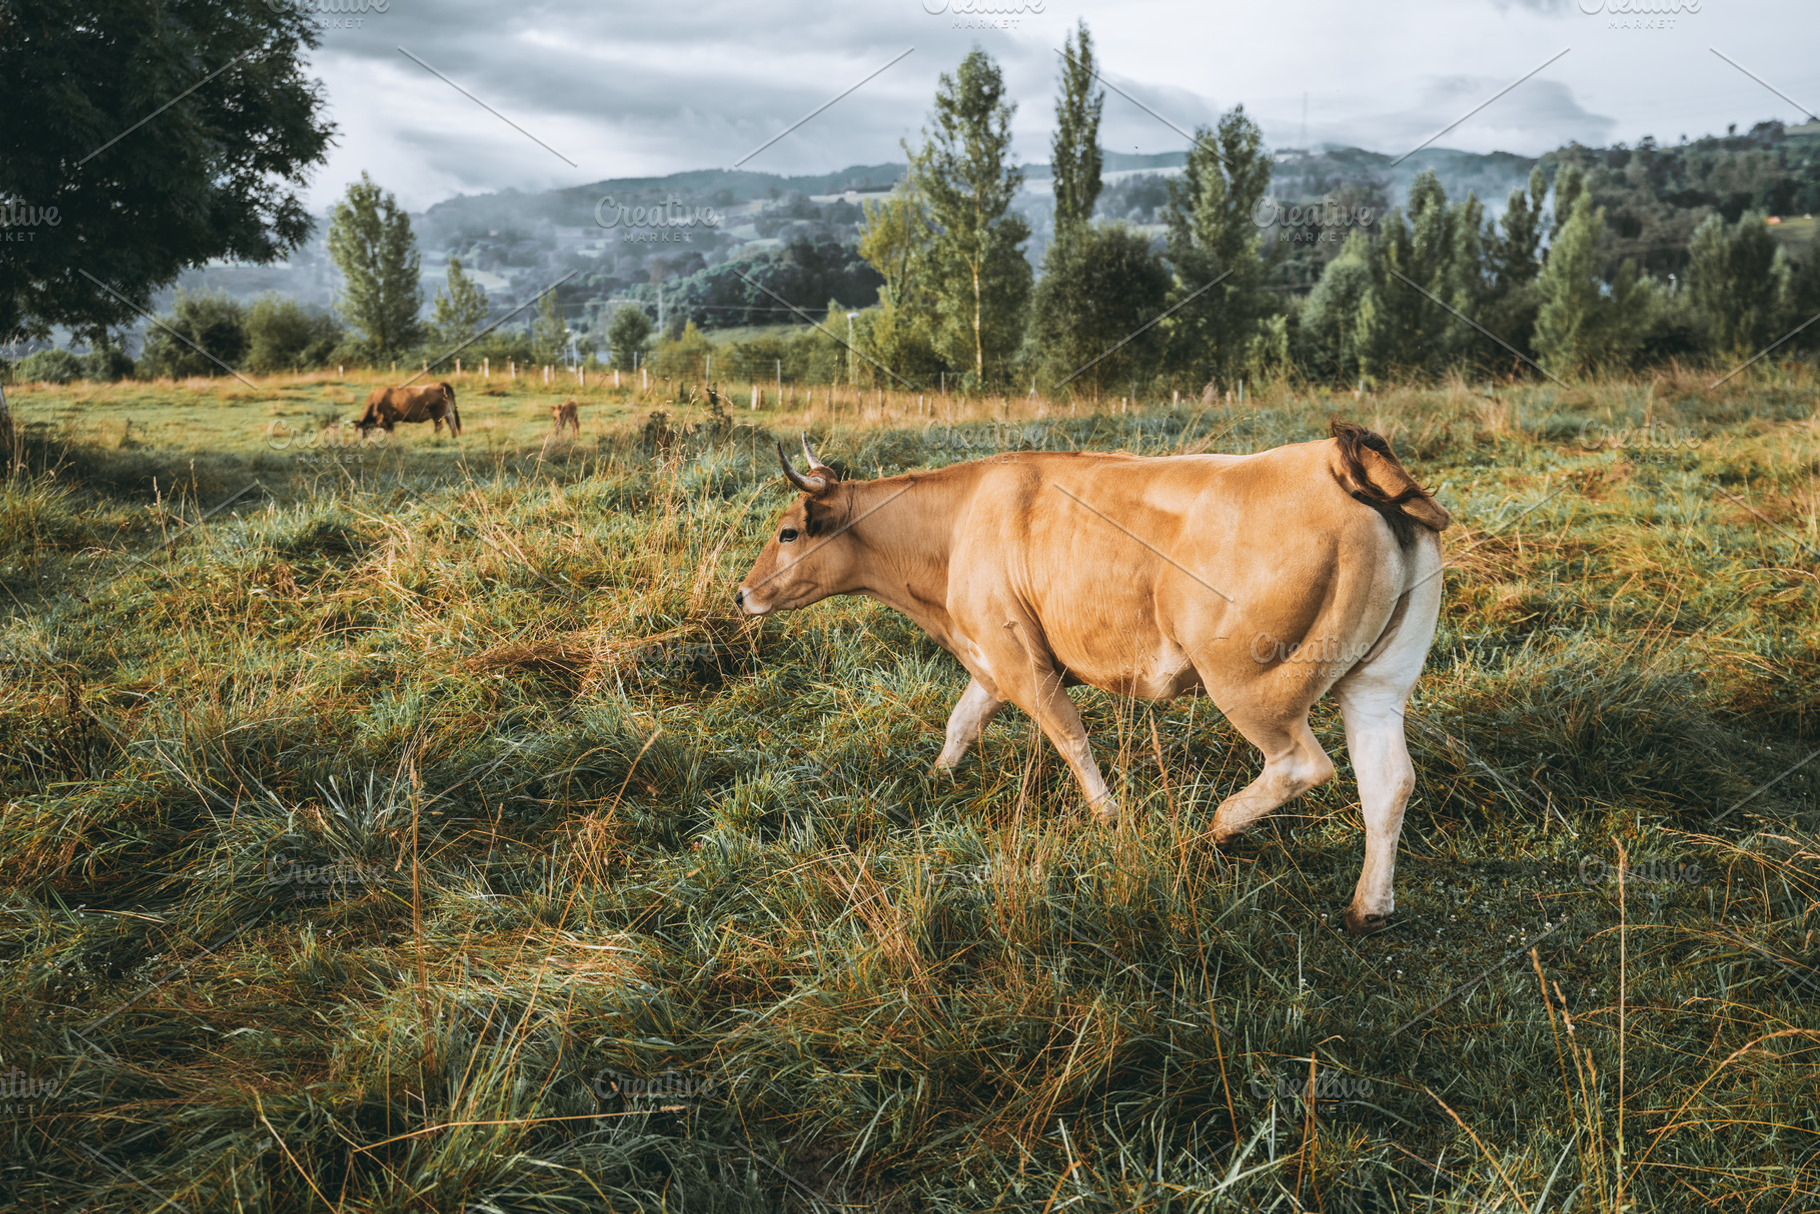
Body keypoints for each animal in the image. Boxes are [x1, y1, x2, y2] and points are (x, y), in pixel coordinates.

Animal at [735, 422, 1451, 936]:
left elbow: (1069, 737)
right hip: (1377, 685)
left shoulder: (1018, 656)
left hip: (1251, 685)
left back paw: (1214, 830)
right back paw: (1368, 907)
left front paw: (1109, 817)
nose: (742, 595)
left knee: (1302, 764)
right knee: (1387, 781)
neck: (958, 521)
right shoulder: (991, 659)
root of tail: (1333, 463)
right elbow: (961, 723)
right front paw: (937, 777)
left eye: (789, 531)